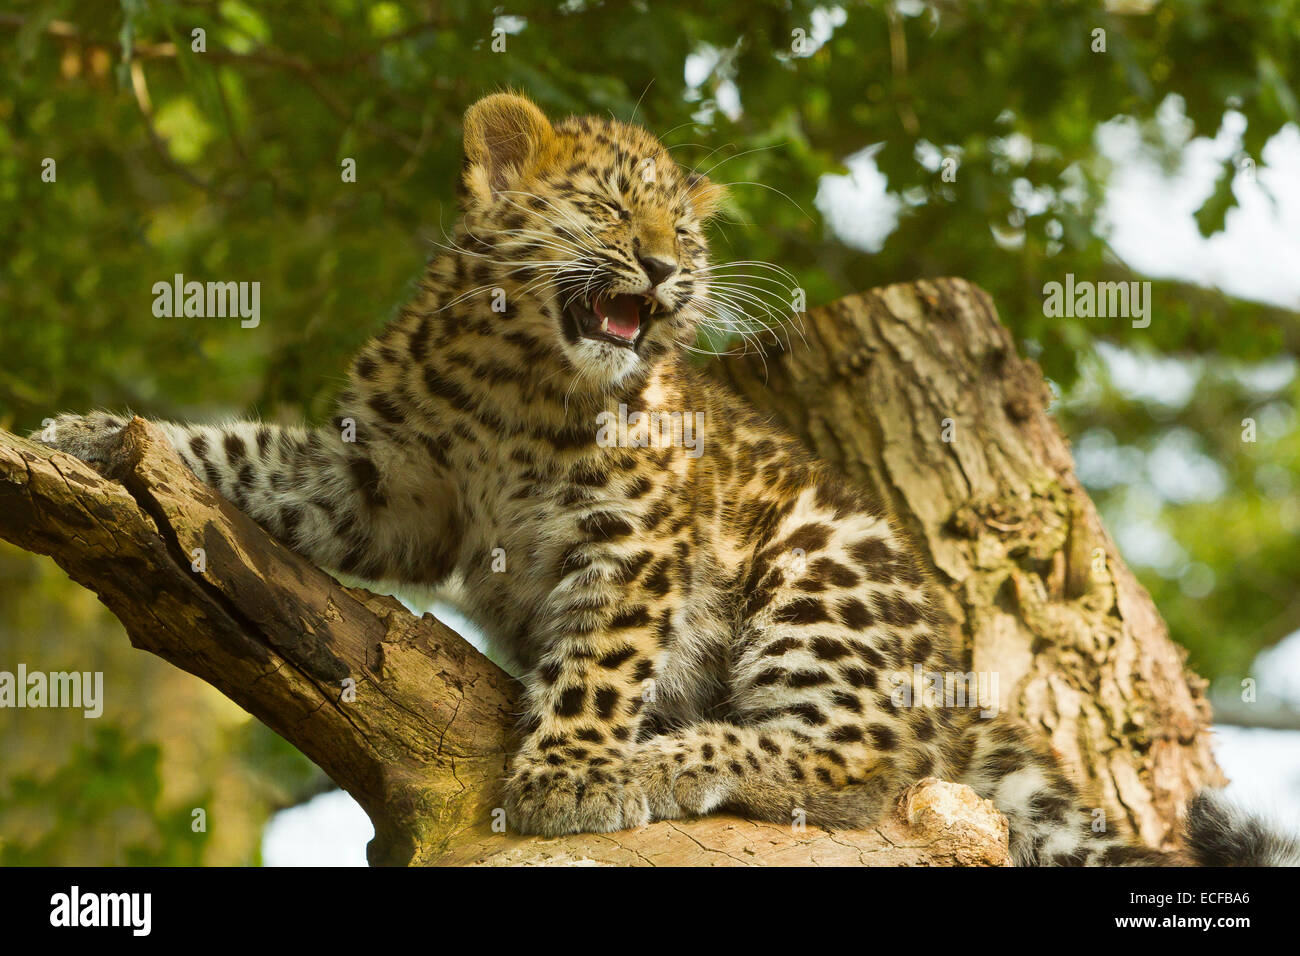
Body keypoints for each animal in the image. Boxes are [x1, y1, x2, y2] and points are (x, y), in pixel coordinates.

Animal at [37, 92, 1298, 867]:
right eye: (607, 206)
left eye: (684, 234)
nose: (663, 266)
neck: (512, 375)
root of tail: (951, 681)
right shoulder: (384, 483)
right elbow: (245, 454)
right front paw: (91, 433)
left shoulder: (637, 528)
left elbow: (600, 659)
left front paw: (569, 771)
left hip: (820, 563)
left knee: (852, 759)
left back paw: (656, 756)